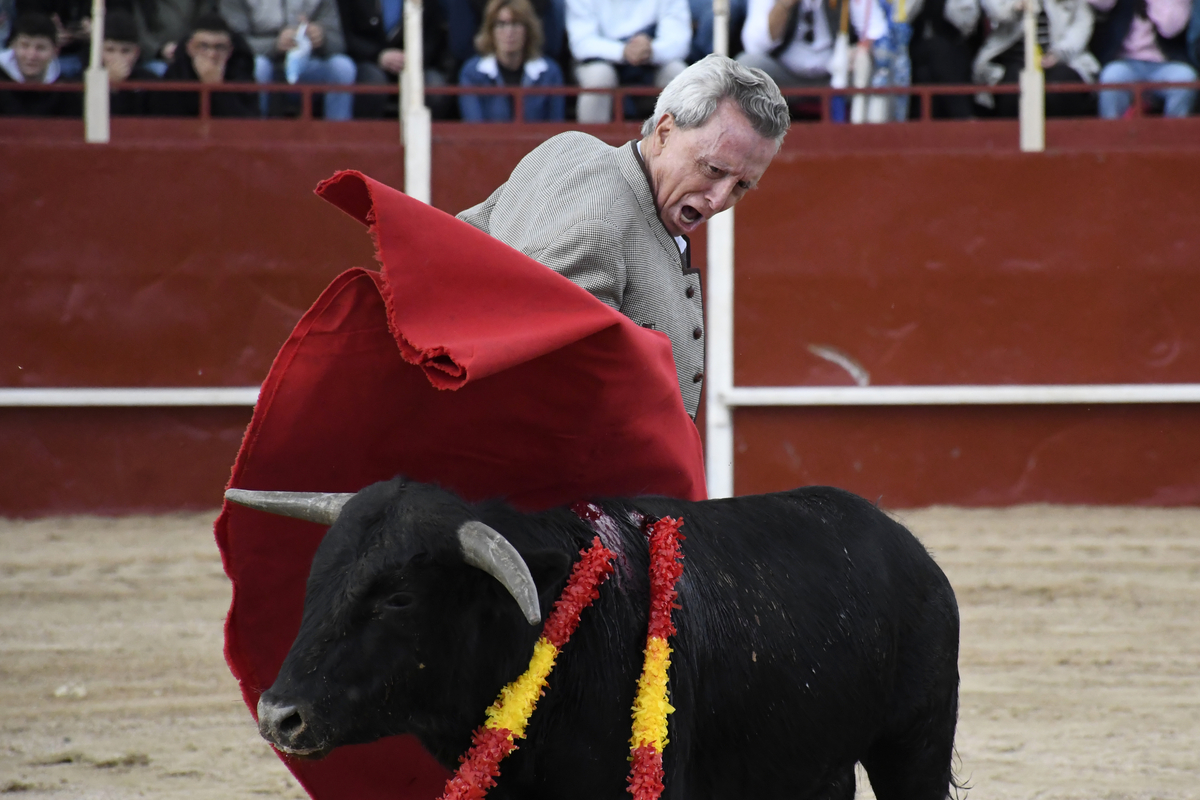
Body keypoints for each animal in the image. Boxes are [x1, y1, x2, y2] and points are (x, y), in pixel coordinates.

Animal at [238, 479, 960, 796]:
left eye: (399, 597)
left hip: (915, 745)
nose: (278, 715)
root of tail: (910, 550)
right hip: (811, 766)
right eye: (320, 574)